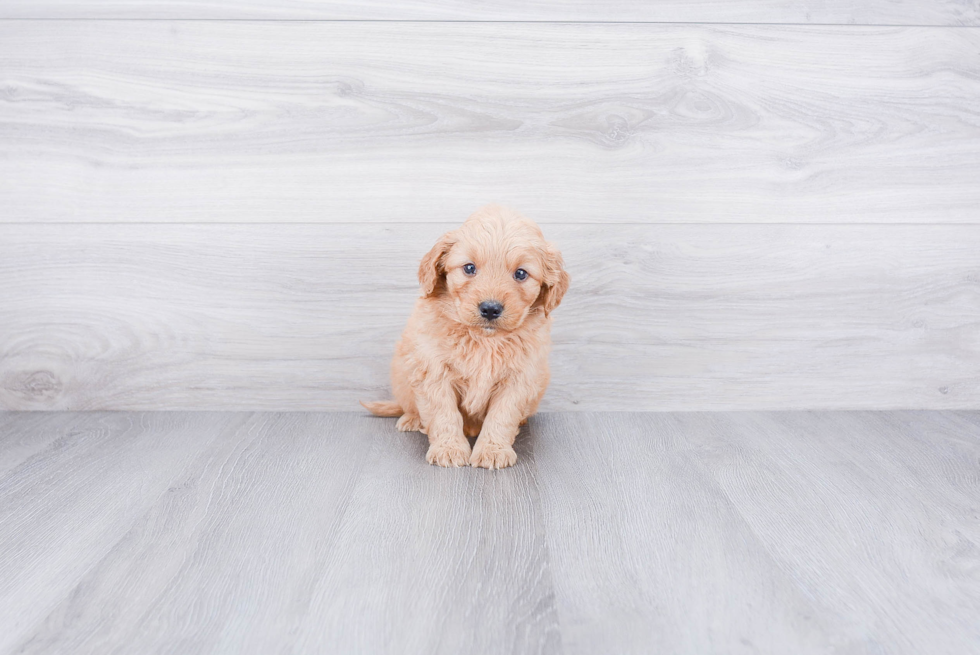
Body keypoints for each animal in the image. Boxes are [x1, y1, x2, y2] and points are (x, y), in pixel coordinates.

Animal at [364, 204, 572, 466]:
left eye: (521, 274)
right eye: (469, 268)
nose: (490, 309)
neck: (484, 340)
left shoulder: (519, 378)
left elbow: (502, 416)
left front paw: (493, 450)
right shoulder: (433, 371)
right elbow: (443, 413)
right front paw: (449, 449)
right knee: (411, 406)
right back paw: (412, 419)